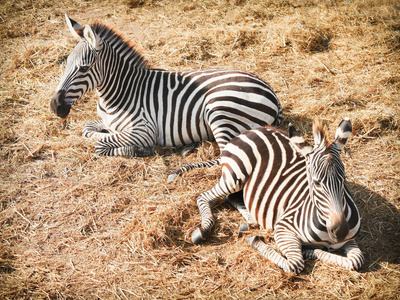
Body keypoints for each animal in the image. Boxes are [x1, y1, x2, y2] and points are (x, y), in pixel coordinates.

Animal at [49, 14, 282, 157]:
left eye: (83, 68)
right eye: (66, 63)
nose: (54, 106)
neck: (120, 92)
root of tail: (270, 90)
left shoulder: (144, 130)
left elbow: (102, 144)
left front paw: (139, 149)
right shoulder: (109, 123)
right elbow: (88, 130)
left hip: (220, 110)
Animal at [186, 118, 364, 274]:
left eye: (344, 179)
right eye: (316, 183)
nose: (341, 231)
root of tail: (254, 129)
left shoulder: (350, 240)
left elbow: (356, 260)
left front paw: (309, 250)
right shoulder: (283, 228)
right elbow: (294, 264)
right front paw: (255, 240)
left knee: (232, 198)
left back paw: (249, 222)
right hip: (234, 176)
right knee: (204, 196)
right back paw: (203, 230)